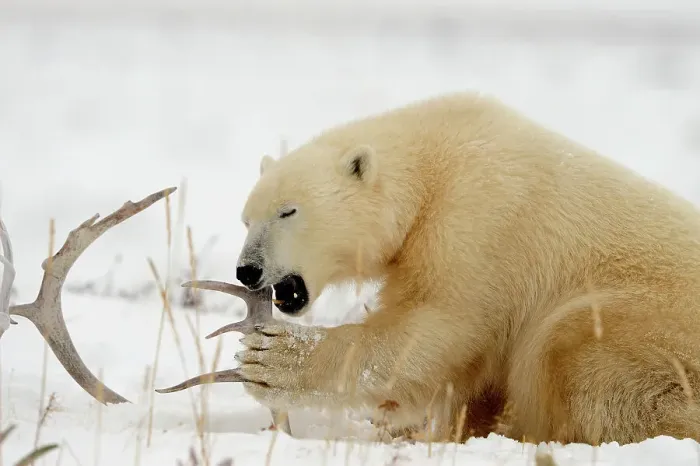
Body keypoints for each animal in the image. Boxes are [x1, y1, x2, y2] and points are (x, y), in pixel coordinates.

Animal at [232, 91, 700, 446]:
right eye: (246, 219)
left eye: (288, 211)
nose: (247, 270)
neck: (432, 162)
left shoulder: (476, 220)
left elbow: (435, 326)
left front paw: (269, 357)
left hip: (648, 327)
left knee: (572, 349)